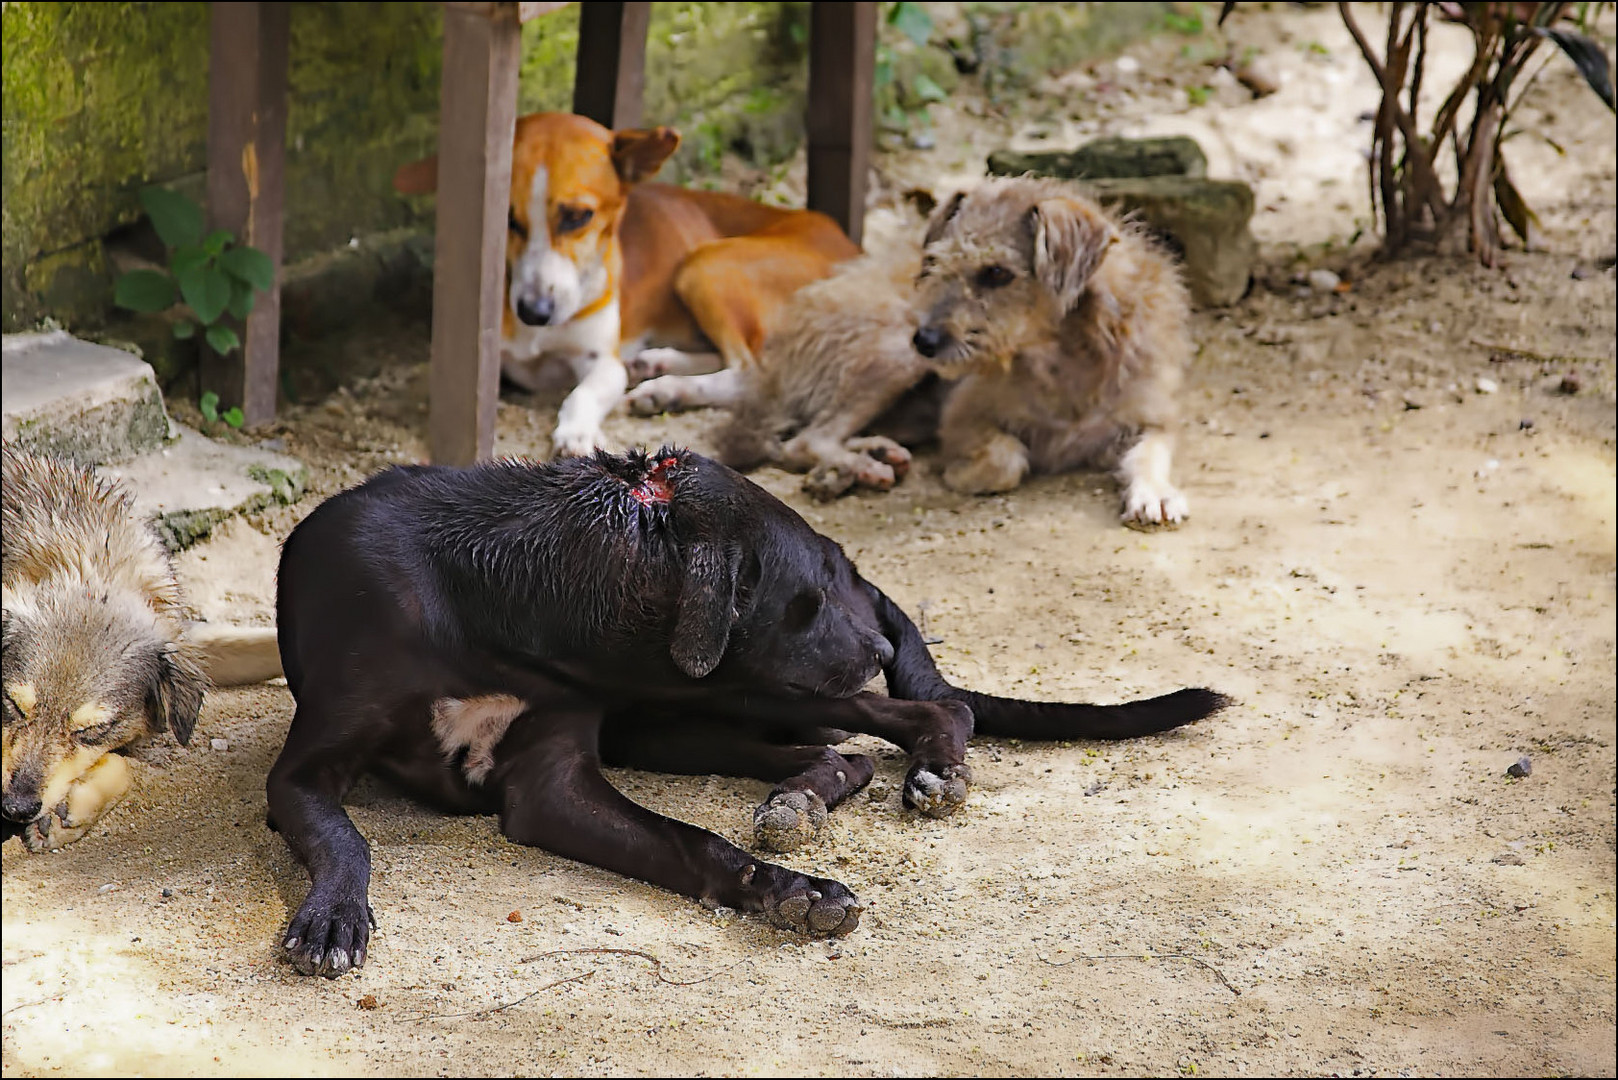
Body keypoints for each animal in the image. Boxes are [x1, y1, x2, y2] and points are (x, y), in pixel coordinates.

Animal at [268, 446, 1223, 977]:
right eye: (808, 593)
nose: (877, 646)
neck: (500, 601)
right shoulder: (304, 774)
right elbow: (348, 838)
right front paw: (334, 916)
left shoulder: (555, 775)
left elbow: (696, 842)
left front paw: (795, 892)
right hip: (681, 711)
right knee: (846, 750)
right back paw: (803, 795)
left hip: (740, 685)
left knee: (928, 713)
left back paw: (935, 767)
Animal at [394, 113, 860, 456]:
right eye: (508, 220)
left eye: (577, 216)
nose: (534, 312)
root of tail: (849, 246)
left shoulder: (602, 361)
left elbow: (582, 394)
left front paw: (577, 433)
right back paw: (658, 369)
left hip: (703, 265)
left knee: (754, 373)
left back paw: (670, 388)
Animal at [715, 176, 1197, 527]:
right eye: (935, 264)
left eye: (997, 273)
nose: (925, 340)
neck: (1066, 357)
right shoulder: (963, 416)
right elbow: (1008, 459)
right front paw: (960, 473)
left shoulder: (1159, 416)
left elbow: (1151, 450)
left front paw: (1153, 491)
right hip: (892, 356)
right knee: (806, 440)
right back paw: (859, 466)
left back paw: (872, 455)